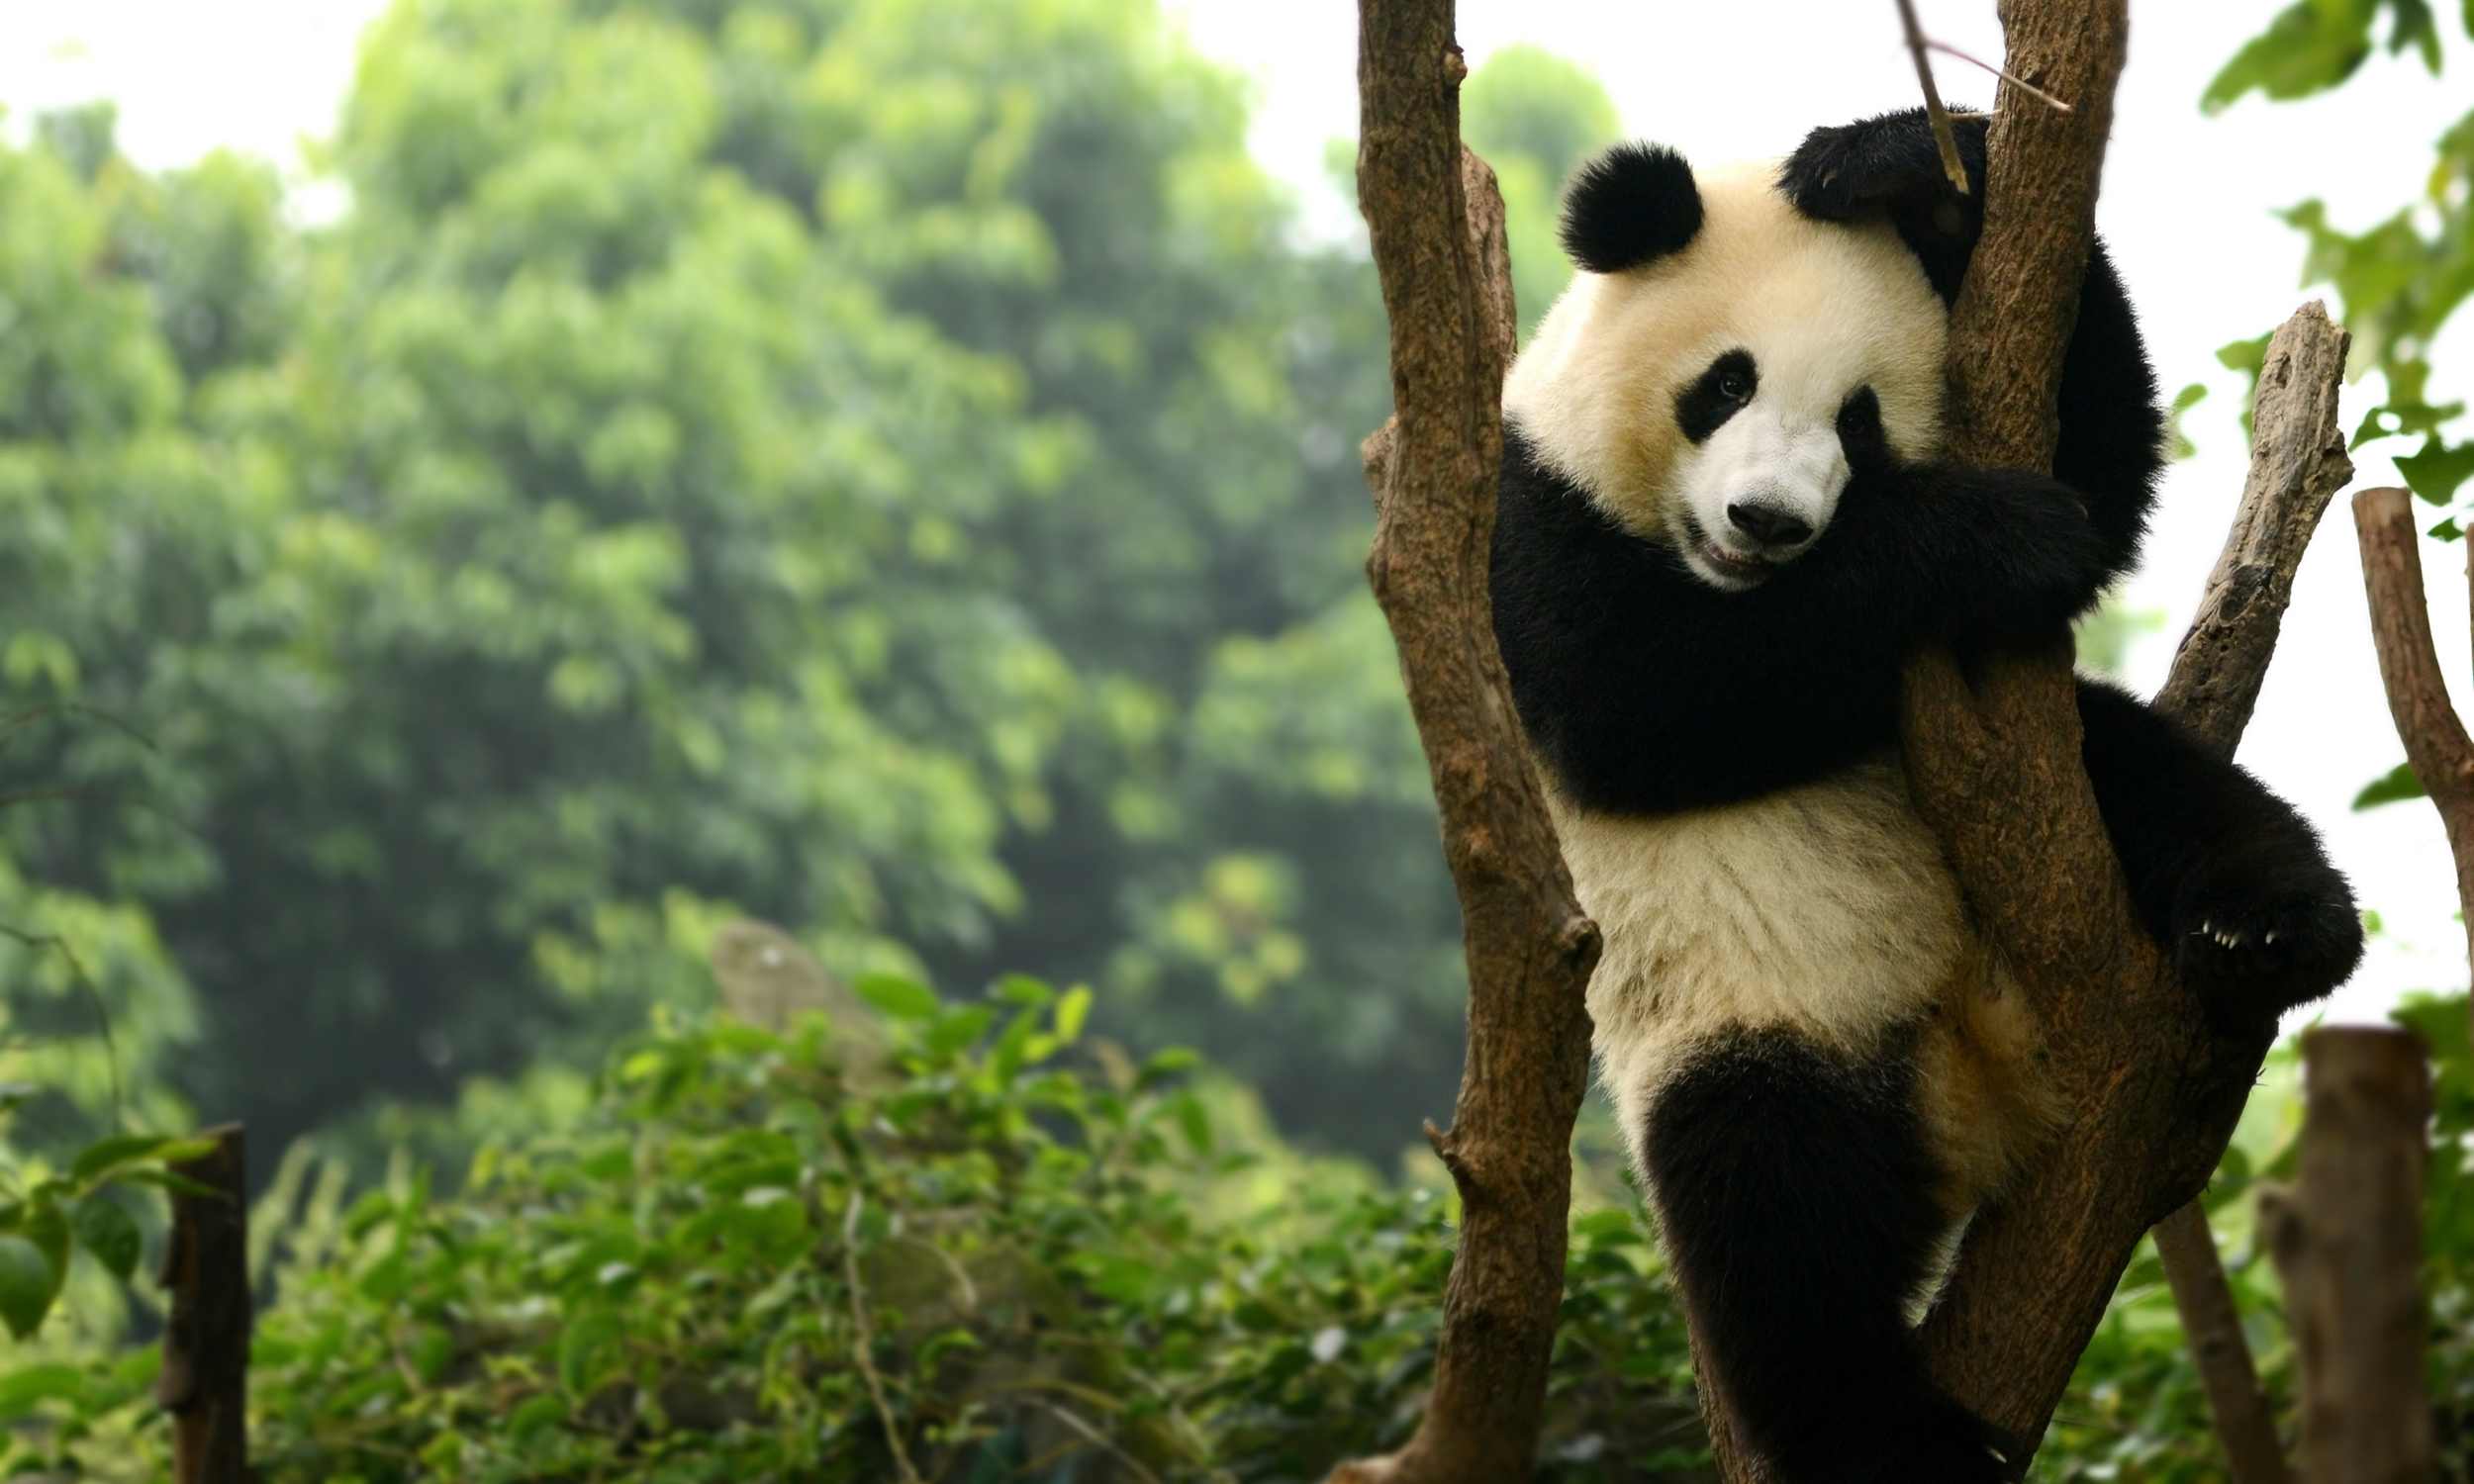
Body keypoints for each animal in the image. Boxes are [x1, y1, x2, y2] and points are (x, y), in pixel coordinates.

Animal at [1490, 109, 2363, 1482]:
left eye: (1859, 422)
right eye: (1724, 384)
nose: (1767, 521)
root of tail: (1978, 1094)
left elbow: (2105, 465)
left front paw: (1907, 166)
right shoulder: (1524, 518)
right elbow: (1636, 700)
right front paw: (1987, 536)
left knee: (2152, 774)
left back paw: (2269, 925)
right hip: (1746, 1016)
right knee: (1771, 1221)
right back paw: (1900, 1442)